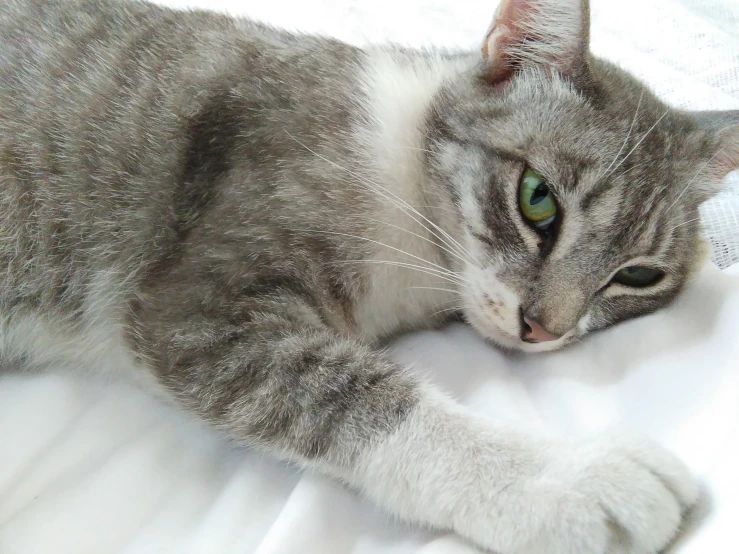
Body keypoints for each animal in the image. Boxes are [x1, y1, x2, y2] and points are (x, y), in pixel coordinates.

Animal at [1, 0, 739, 548]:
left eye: (637, 275)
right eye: (538, 200)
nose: (543, 329)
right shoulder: (194, 307)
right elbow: (352, 396)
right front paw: (564, 479)